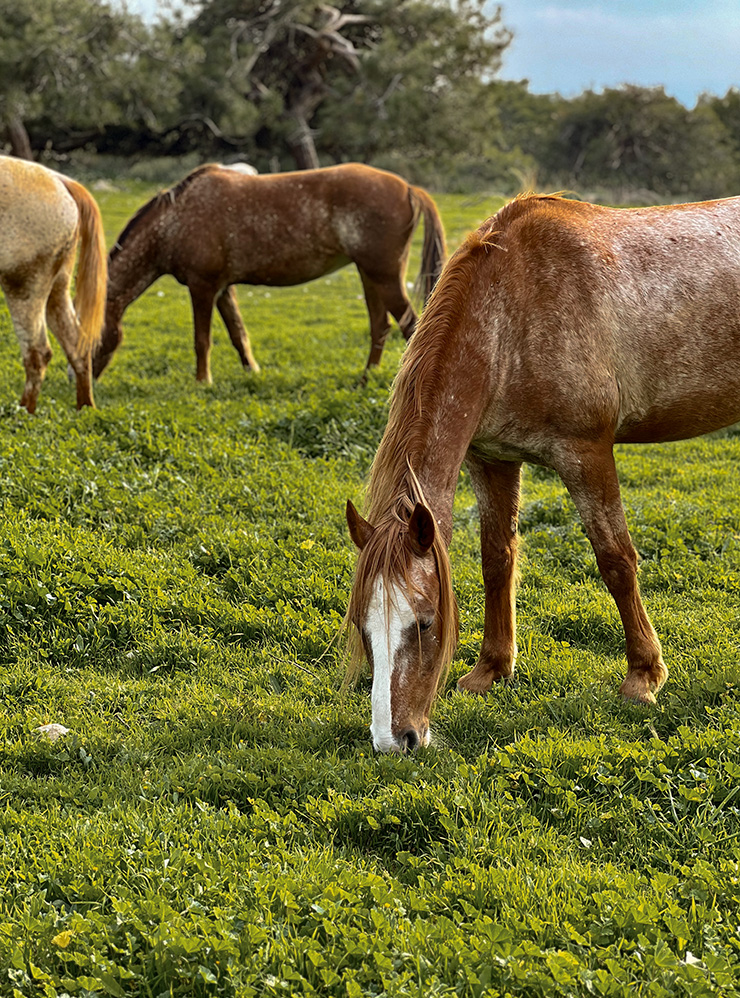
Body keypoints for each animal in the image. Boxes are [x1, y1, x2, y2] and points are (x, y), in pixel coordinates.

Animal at [0, 154, 107, 412]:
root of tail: (60, 180)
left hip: (24, 286)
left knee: (38, 353)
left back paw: (23, 412)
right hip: (57, 287)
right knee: (77, 344)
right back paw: (84, 407)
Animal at [92, 164, 446, 382]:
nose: (84, 377)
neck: (174, 223)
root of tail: (408, 187)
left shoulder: (202, 286)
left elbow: (201, 340)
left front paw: (202, 381)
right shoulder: (223, 289)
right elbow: (238, 334)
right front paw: (252, 371)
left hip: (383, 275)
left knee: (408, 325)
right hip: (369, 274)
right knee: (380, 326)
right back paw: (365, 378)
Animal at [346, 191, 740, 752]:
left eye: (423, 624)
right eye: (363, 627)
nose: (393, 740)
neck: (512, 314)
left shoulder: (587, 453)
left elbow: (616, 561)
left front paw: (643, 677)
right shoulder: (491, 459)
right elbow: (497, 560)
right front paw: (491, 670)